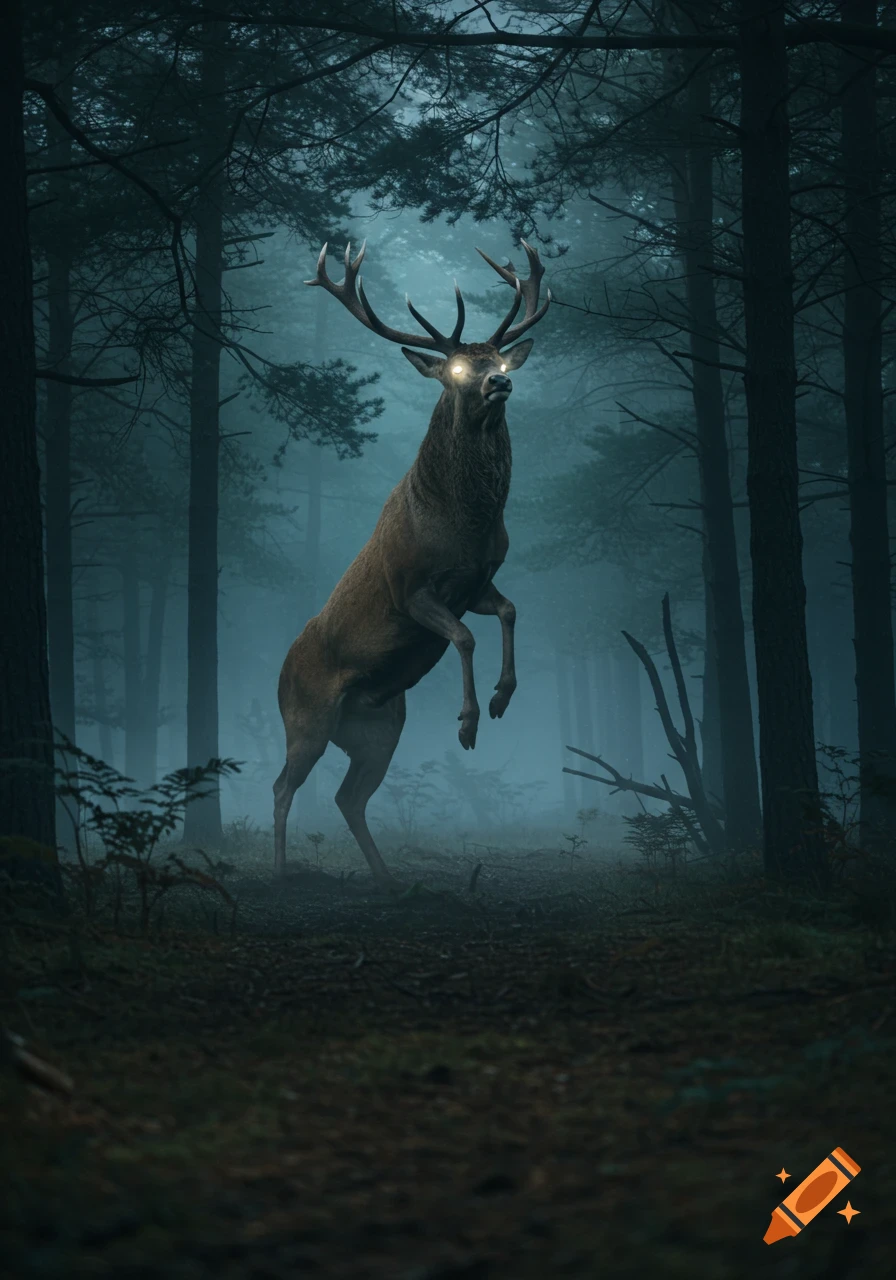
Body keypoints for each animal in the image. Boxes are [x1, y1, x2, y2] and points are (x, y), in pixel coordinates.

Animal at [273, 240, 551, 883]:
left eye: (500, 360)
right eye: (458, 370)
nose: (498, 383)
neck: (462, 528)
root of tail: (279, 677)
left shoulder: (478, 583)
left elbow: (510, 612)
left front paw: (501, 698)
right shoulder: (410, 589)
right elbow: (463, 638)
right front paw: (469, 723)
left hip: (378, 729)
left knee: (348, 797)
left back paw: (386, 878)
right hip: (306, 721)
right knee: (282, 787)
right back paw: (279, 871)